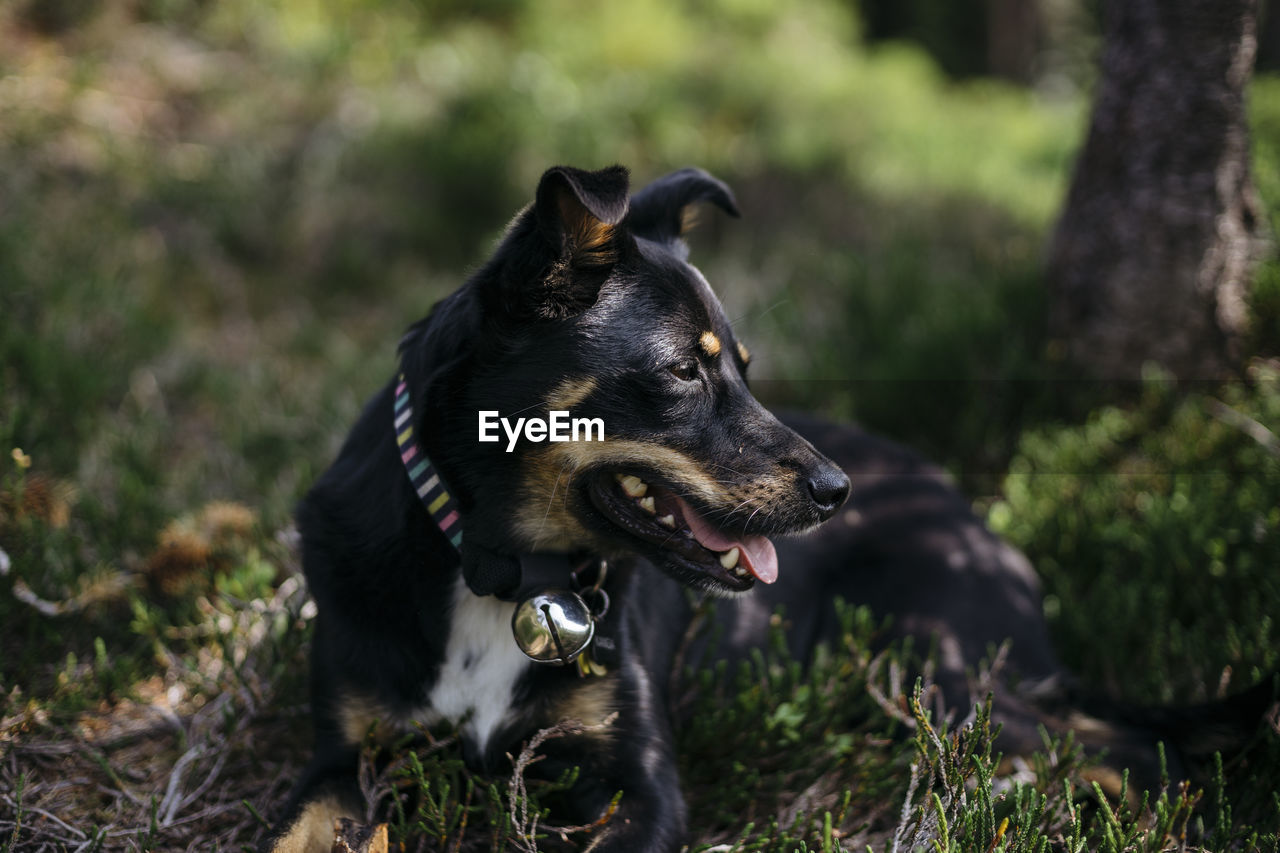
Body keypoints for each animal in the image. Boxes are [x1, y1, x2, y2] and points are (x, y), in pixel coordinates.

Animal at [267, 162, 1269, 845]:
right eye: (683, 371)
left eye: (744, 368)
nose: (835, 490)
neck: (499, 570)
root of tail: (971, 517)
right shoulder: (340, 761)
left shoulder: (639, 782)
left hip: (933, 664)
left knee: (1123, 749)